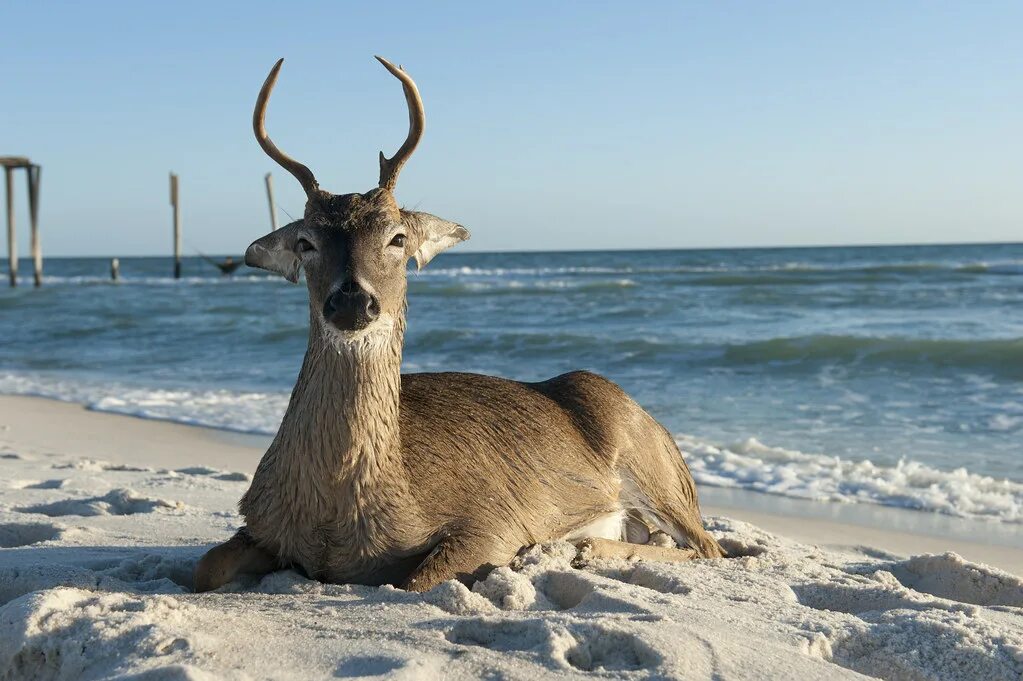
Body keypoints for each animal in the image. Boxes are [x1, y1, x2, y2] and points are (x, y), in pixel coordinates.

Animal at [190, 55, 720, 593]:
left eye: (398, 237)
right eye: (305, 242)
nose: (352, 303)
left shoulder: (494, 520)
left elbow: (418, 580)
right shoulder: (262, 521)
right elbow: (206, 567)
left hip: (653, 464)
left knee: (707, 546)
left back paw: (585, 547)